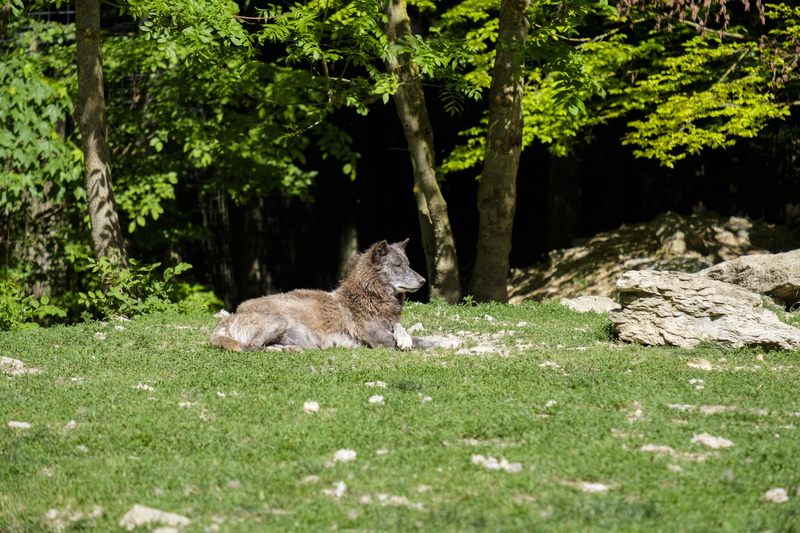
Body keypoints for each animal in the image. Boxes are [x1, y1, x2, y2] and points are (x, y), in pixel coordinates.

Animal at [210, 239, 440, 352]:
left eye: (408, 264)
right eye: (398, 266)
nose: (423, 281)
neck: (369, 296)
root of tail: (229, 318)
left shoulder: (390, 324)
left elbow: (403, 329)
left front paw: (404, 339)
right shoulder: (380, 339)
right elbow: (426, 341)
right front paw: (445, 344)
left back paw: (289, 349)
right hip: (280, 321)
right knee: (250, 347)